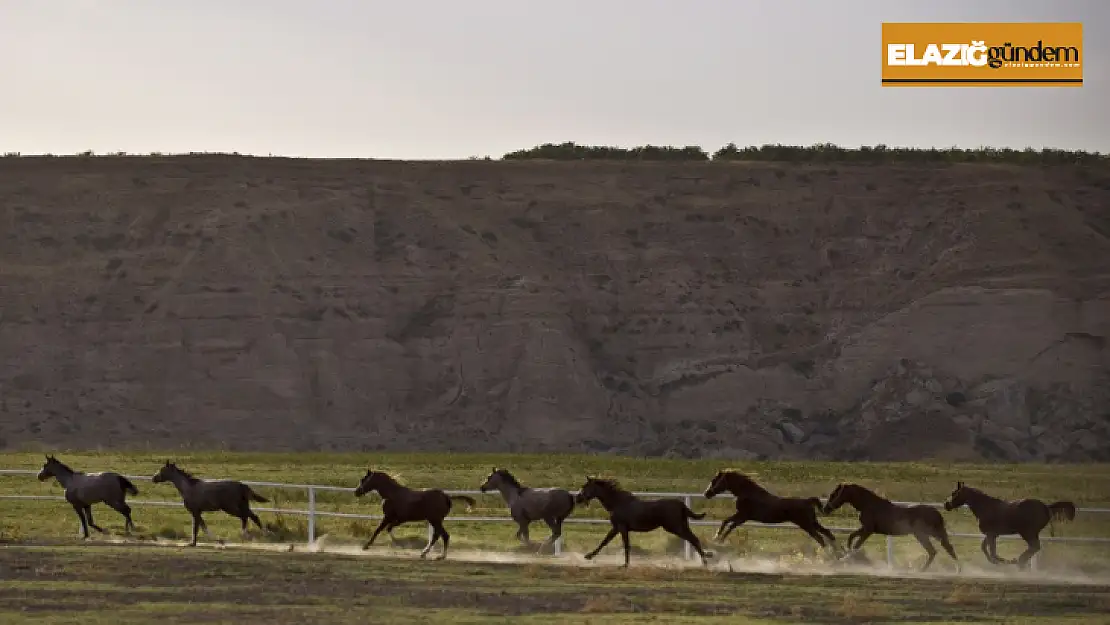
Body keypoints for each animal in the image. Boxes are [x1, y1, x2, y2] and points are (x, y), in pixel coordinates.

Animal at [572, 477, 710, 568]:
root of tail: (681, 505)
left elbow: (626, 545)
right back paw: (705, 559)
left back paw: (705, 561)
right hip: (681, 526)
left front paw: (625, 564)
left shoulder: (622, 527)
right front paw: (588, 556)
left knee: (693, 539)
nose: (577, 499)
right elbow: (604, 541)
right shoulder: (616, 528)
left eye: (585, 487)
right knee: (694, 539)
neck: (617, 503)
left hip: (675, 527)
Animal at [701, 472, 839, 555]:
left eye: (715, 481)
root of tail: (808, 501)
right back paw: (836, 554)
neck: (747, 493)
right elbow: (728, 523)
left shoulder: (743, 516)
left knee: (820, 538)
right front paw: (718, 538)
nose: (706, 493)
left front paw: (718, 539)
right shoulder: (742, 517)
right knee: (828, 533)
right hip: (813, 522)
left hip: (806, 524)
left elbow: (728, 523)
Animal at [821, 484, 959, 572]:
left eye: (834, 494)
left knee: (939, 550)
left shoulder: (868, 530)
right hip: (927, 534)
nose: (825, 509)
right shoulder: (866, 528)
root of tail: (936, 512)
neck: (869, 505)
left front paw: (845, 559)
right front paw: (846, 553)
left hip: (925, 534)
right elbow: (851, 537)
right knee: (940, 550)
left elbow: (856, 545)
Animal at [945, 481, 1074, 568]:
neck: (985, 507)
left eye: (954, 493)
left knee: (1035, 546)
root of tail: (1046, 507)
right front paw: (998, 561)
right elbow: (985, 548)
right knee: (1034, 547)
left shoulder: (991, 534)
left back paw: (1019, 562)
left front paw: (1002, 561)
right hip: (1031, 533)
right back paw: (1020, 562)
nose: (946, 505)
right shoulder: (992, 534)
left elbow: (992, 552)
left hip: (1027, 532)